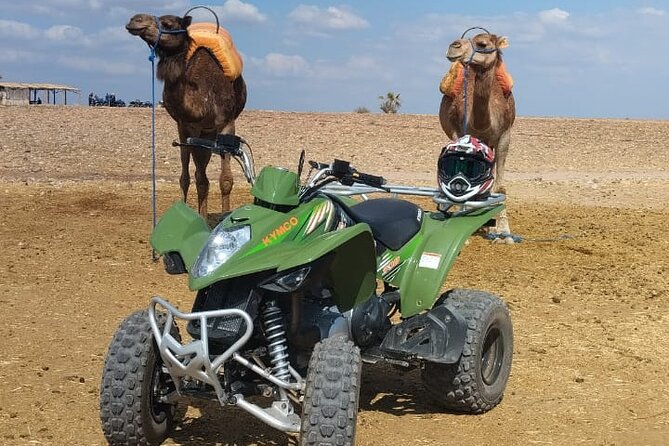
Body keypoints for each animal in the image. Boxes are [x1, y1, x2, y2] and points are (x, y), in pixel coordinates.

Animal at [124, 13, 245, 216]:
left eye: (168, 24)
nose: (135, 20)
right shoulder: (187, 126)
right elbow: (194, 179)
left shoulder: (226, 123)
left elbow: (225, 180)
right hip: (195, 133)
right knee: (191, 175)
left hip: (210, 132)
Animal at [438, 30, 516, 242]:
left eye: (482, 44)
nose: (454, 46)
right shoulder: (458, 131)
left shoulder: (504, 136)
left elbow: (500, 187)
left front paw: (503, 232)